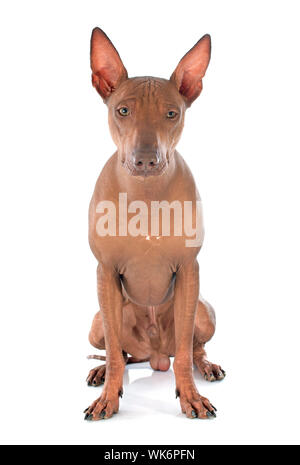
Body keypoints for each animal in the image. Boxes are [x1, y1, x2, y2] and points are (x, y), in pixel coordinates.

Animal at [84, 28, 225, 420]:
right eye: (123, 110)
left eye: (171, 114)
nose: (145, 159)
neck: (146, 195)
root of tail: (156, 355)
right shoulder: (105, 272)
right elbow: (115, 352)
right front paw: (109, 396)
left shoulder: (189, 270)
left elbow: (186, 354)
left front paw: (191, 396)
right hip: (98, 322)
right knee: (120, 352)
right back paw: (101, 370)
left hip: (204, 312)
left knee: (192, 349)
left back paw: (206, 366)